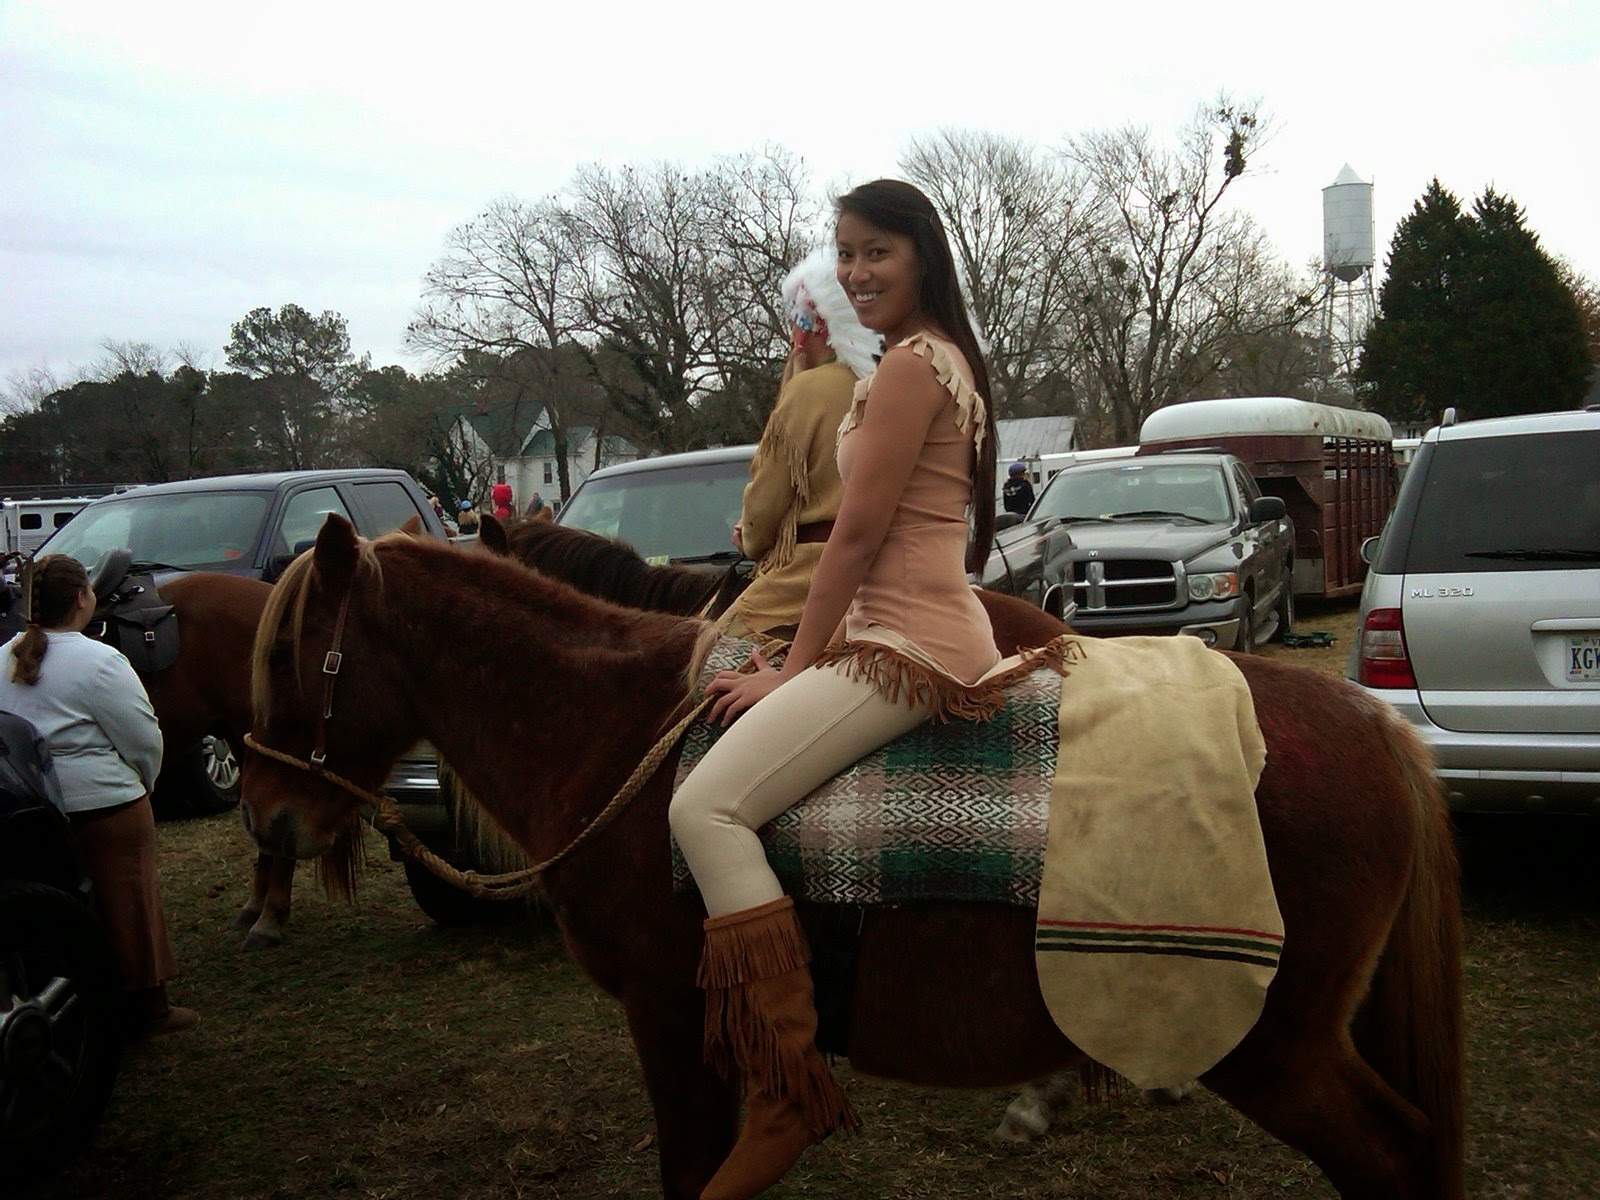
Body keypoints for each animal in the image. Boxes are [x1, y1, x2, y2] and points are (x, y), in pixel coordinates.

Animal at [241, 516, 1464, 1200]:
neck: (623, 730)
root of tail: (1375, 730)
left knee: (1392, 1158)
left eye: (296, 653)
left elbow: (692, 1172)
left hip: (1280, 1050)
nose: (264, 818)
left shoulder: (668, 1015)